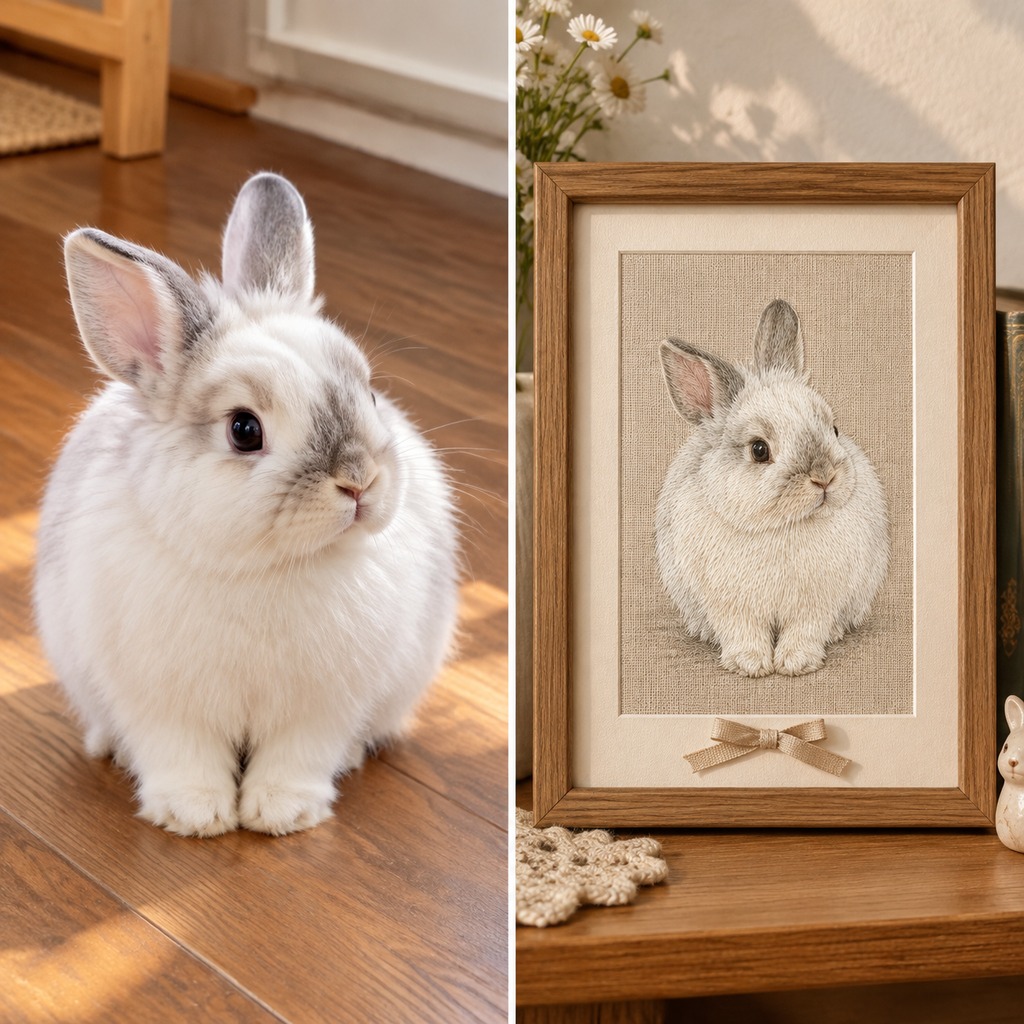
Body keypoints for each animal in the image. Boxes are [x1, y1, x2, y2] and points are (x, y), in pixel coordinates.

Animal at [33, 172, 460, 837]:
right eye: (243, 430)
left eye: (368, 392)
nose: (360, 482)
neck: (262, 567)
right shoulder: (163, 705)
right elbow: (181, 756)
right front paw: (194, 815)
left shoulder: (320, 709)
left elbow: (296, 757)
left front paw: (281, 813)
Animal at [654, 299, 889, 678]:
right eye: (759, 450)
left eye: (834, 429)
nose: (824, 477)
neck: (781, 526)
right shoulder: (731, 605)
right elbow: (743, 631)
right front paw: (749, 663)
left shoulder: (816, 603)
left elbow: (805, 629)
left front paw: (797, 663)